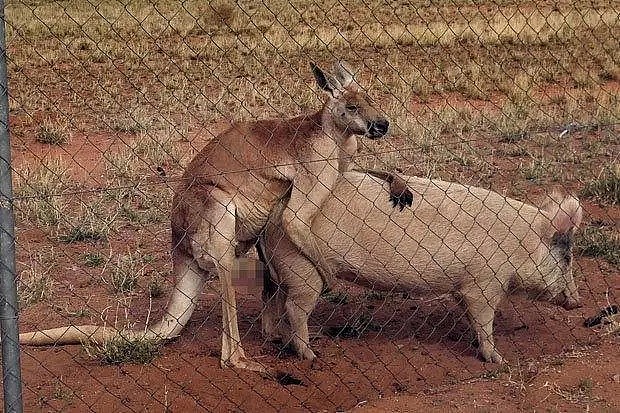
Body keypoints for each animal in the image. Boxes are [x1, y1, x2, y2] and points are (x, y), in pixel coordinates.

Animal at [260, 171, 584, 364]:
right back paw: (310, 355)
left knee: (272, 300)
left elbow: (471, 316)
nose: (578, 302)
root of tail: (275, 210)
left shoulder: (465, 287)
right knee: (294, 309)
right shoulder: (484, 282)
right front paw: (498, 360)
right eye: (567, 258)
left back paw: (276, 338)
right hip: (303, 269)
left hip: (280, 269)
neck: (522, 242)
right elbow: (484, 319)